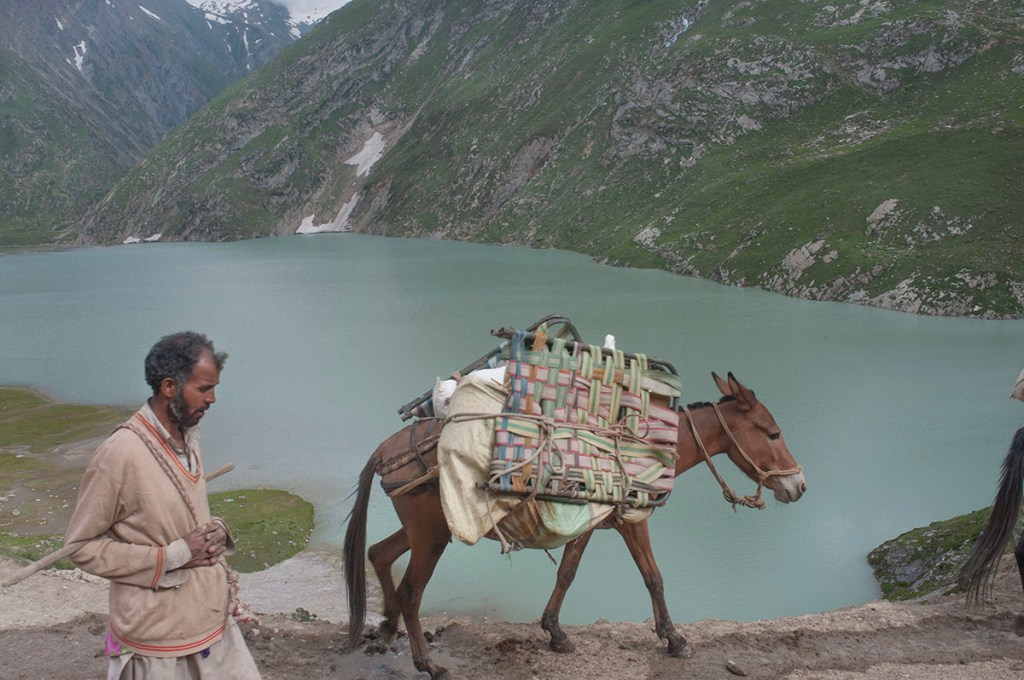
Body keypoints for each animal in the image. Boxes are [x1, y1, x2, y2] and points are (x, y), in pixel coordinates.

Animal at [343, 372, 807, 678]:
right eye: (773, 432)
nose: (799, 486)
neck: (644, 451)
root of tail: (386, 449)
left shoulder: (587, 524)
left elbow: (568, 572)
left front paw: (555, 633)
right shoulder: (631, 521)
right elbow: (653, 577)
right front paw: (674, 639)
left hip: (423, 531)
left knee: (378, 553)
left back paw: (386, 625)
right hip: (432, 535)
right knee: (411, 591)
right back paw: (427, 663)